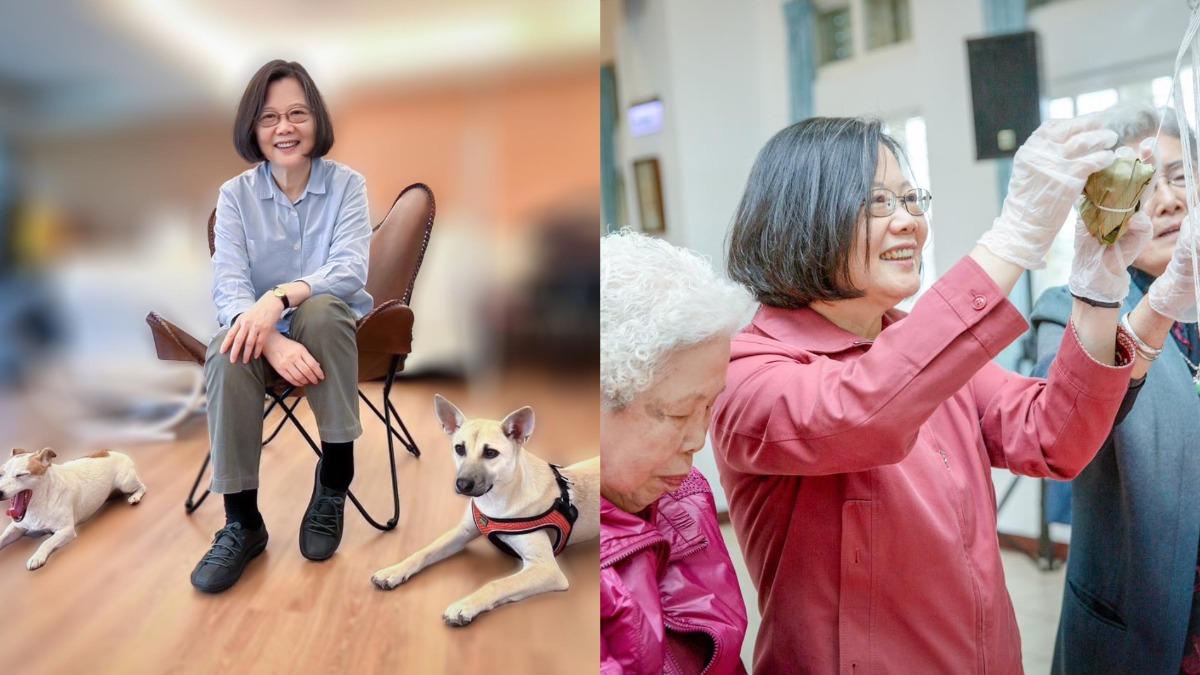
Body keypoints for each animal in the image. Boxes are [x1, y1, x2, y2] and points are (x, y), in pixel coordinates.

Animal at [0, 446, 146, 566]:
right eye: (1, 474)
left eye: (21, 475)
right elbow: (3, 537)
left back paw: (135, 496)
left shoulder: (66, 530)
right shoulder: (16, 527)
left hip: (125, 483)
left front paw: (37, 557)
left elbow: (46, 542)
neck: (39, 504)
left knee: (142, 486)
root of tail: (113, 451)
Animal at [369, 391, 600, 624]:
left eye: (490, 453)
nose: (462, 485)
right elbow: (424, 551)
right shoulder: (462, 532)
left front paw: (464, 606)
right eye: (459, 449)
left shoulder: (546, 568)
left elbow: (498, 583)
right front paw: (394, 570)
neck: (498, 497)